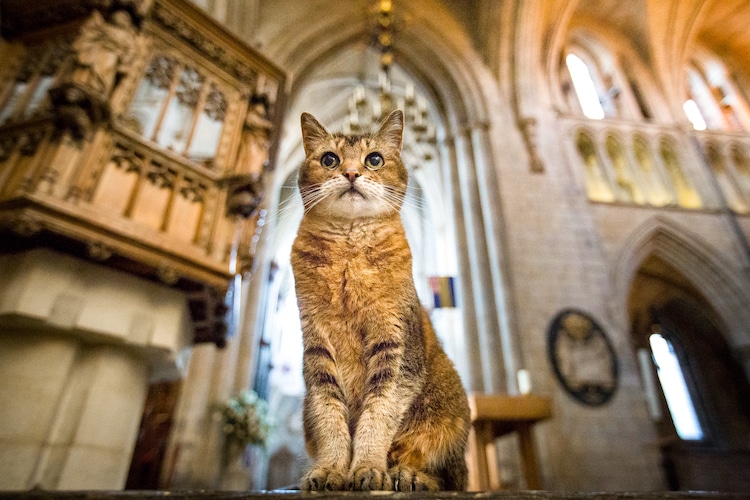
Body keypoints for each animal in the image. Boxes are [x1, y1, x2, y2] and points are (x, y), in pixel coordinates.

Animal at [290, 110, 470, 492]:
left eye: (374, 160)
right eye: (330, 160)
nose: (351, 173)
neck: (349, 251)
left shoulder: (395, 350)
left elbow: (377, 417)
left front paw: (367, 469)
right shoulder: (317, 349)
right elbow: (330, 419)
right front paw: (331, 470)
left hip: (447, 411)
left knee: (442, 474)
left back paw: (408, 475)